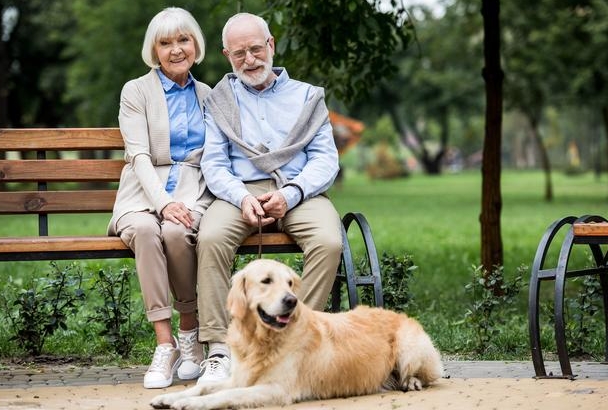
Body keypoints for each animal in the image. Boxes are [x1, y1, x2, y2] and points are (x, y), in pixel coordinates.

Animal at [147, 260, 442, 410]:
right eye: (266, 281)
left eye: (289, 282)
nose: (291, 300)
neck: (260, 340)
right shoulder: (240, 377)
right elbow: (204, 386)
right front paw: (170, 398)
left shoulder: (276, 389)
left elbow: (225, 396)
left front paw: (192, 404)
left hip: (409, 347)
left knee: (427, 375)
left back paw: (411, 382)